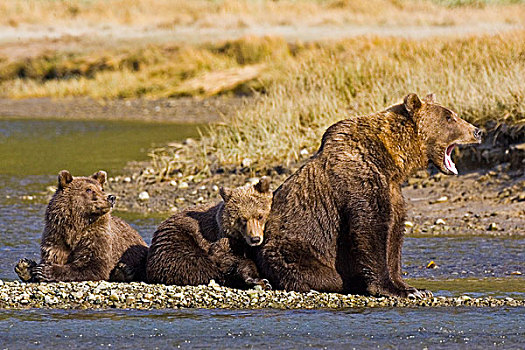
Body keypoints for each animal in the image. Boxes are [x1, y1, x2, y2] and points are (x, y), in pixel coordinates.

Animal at [256, 93, 482, 298]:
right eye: (449, 117)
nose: (477, 131)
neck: (389, 160)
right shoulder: (360, 181)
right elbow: (369, 229)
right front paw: (395, 289)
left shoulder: (393, 191)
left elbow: (394, 235)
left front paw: (412, 288)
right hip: (293, 248)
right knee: (317, 273)